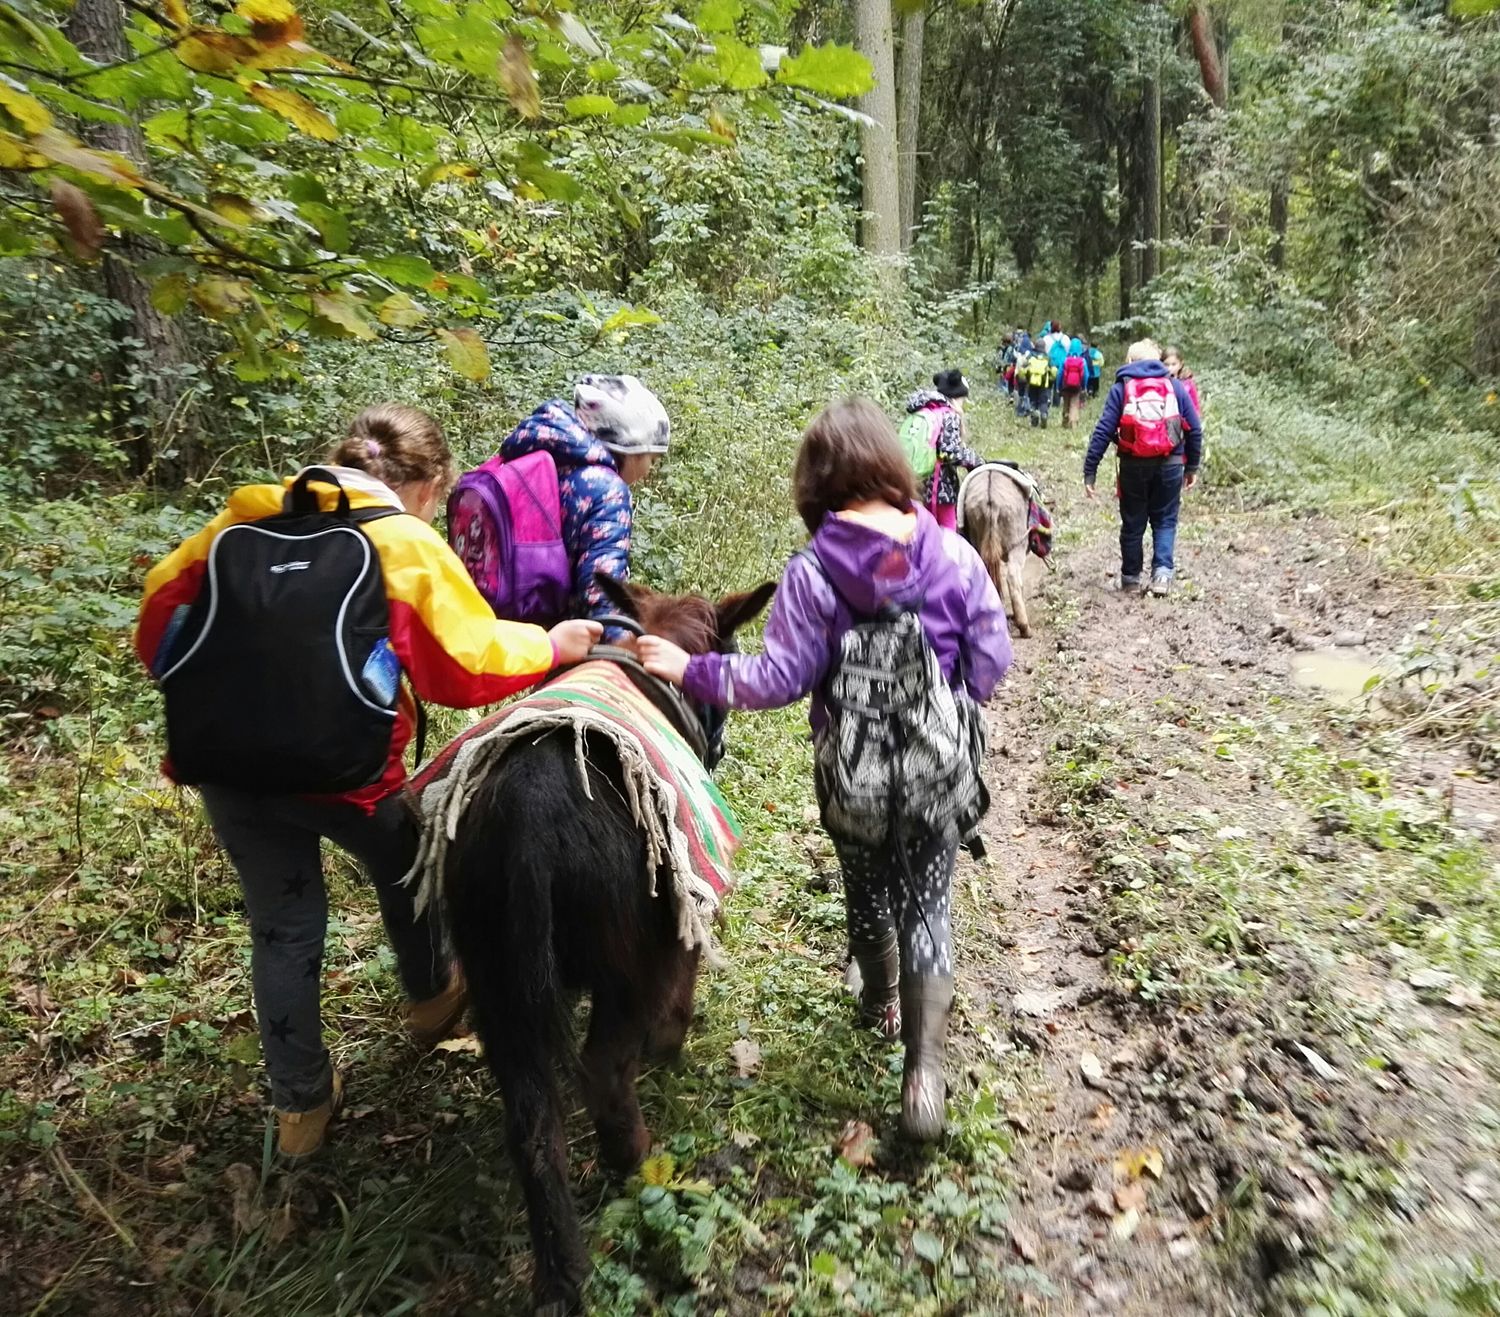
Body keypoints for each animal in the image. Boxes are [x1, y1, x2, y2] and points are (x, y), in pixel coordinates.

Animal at [442, 573, 774, 1315]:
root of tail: (527, 826)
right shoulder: (680, 924)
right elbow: (680, 999)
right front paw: (670, 1052)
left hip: (496, 976)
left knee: (533, 1123)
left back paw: (561, 1269)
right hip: (627, 969)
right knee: (604, 1073)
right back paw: (637, 1168)